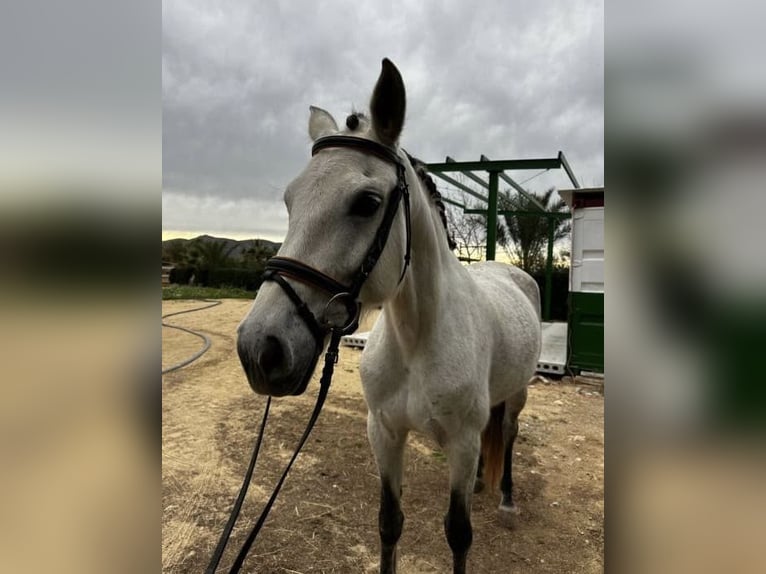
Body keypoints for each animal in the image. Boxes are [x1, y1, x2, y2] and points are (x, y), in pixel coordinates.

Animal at [236, 58, 542, 574]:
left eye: (366, 203)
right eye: (291, 202)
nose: (259, 348)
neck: (417, 338)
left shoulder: (461, 443)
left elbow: (459, 534)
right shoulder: (384, 432)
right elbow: (389, 524)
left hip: (517, 395)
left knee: (509, 432)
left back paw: (504, 498)